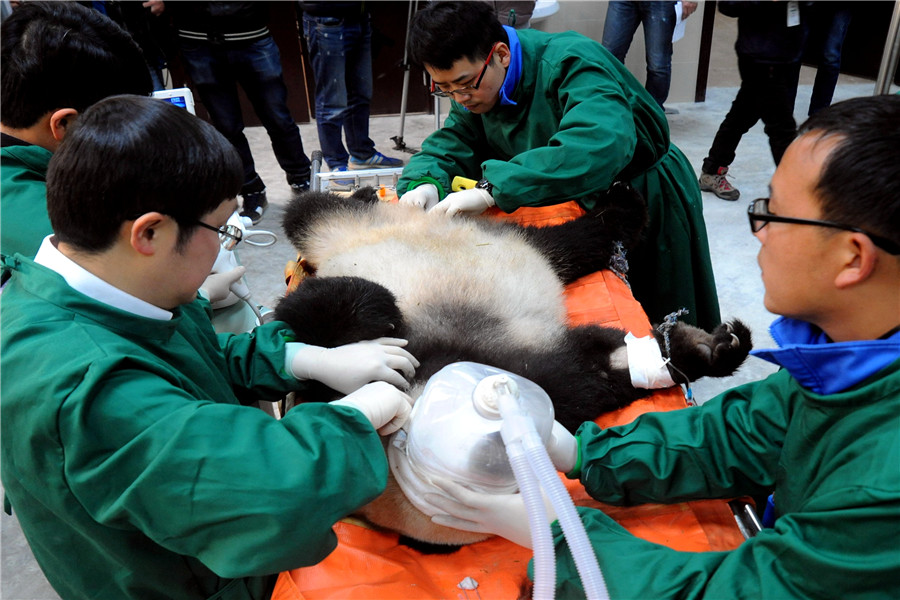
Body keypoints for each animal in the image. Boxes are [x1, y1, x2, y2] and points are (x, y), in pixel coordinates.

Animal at [276, 186, 752, 548]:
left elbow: (302, 321)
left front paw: (703, 350)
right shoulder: (526, 372)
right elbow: (589, 375)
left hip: (358, 231)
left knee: (310, 212)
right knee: (577, 241)